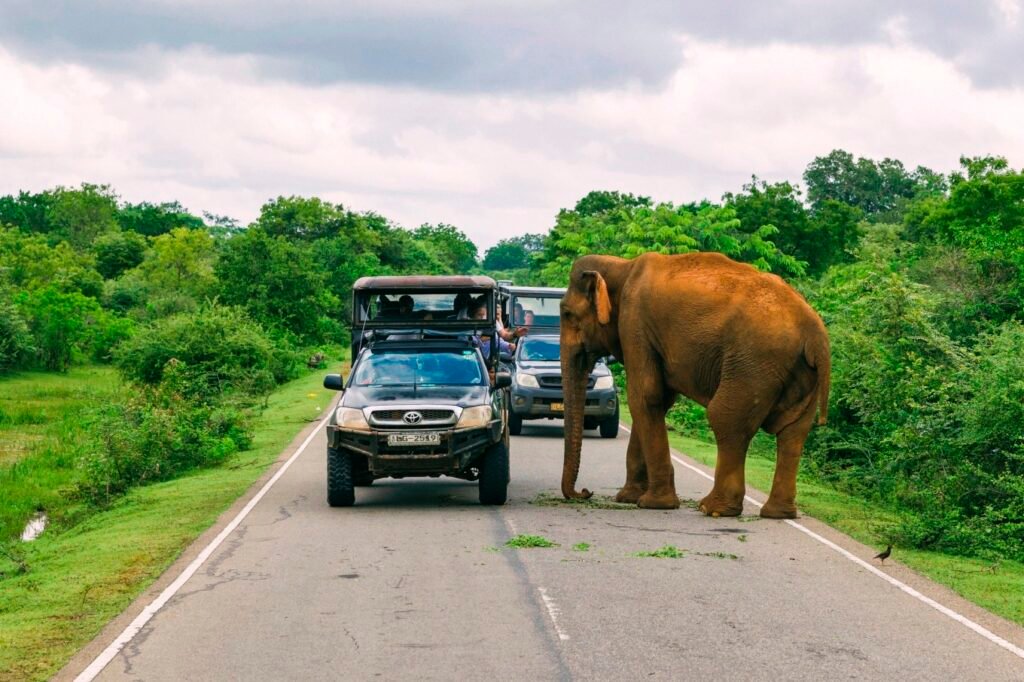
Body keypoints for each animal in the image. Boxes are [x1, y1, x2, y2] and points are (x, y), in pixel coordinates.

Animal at [561, 251, 831, 518]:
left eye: (567, 314)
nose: (585, 493)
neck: (622, 266)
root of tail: (815, 332)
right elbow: (658, 400)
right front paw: (629, 498)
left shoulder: (634, 323)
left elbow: (644, 396)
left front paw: (654, 504)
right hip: (799, 373)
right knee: (793, 432)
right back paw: (777, 513)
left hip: (754, 363)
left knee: (726, 418)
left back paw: (712, 508)